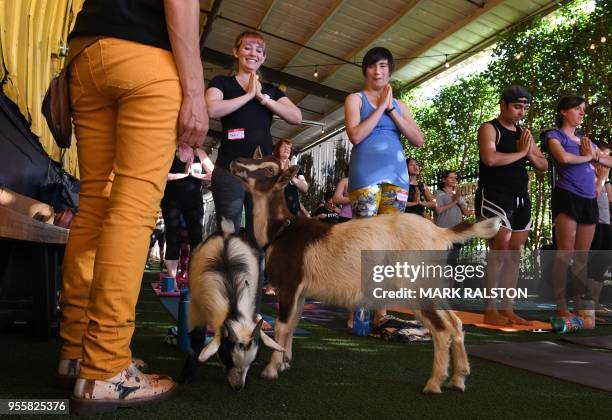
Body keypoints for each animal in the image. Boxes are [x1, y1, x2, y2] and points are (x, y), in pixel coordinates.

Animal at [227, 149, 500, 392]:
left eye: (269, 170)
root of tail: (440, 233)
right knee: (455, 323)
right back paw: (458, 380)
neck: (282, 230)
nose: (235, 161)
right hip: (432, 284)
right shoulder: (301, 291)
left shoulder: (289, 284)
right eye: (257, 157)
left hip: (415, 286)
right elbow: (293, 324)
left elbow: (282, 327)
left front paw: (271, 370)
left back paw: (434, 384)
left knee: (441, 330)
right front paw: (285, 362)